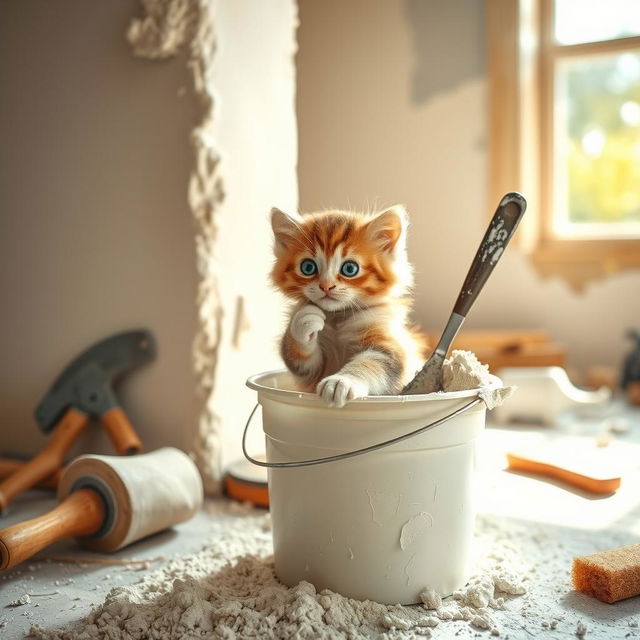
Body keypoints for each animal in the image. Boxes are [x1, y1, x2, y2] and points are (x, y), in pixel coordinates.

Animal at [272, 205, 430, 408]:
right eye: (308, 267)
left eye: (350, 269)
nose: (326, 286)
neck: (339, 317)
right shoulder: (313, 372)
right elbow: (300, 360)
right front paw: (304, 322)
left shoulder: (390, 348)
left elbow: (371, 363)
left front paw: (341, 382)